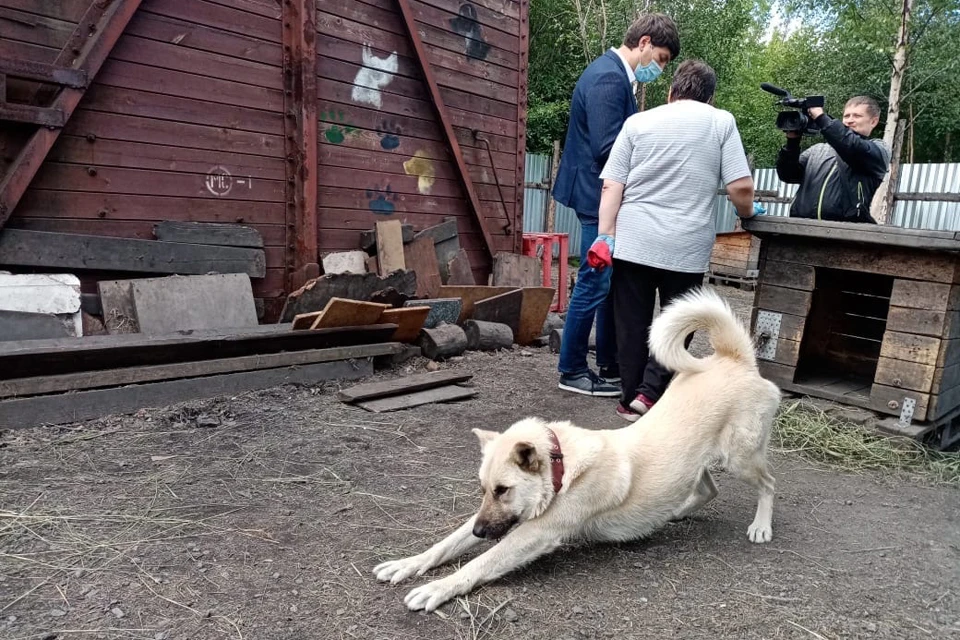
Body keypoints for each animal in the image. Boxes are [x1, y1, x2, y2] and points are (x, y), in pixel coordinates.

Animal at [372, 288, 784, 608]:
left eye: (503, 490)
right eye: (484, 490)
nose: (480, 531)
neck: (563, 468)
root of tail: (733, 358)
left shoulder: (533, 534)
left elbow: (479, 563)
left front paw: (438, 587)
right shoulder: (501, 520)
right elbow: (445, 544)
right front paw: (409, 564)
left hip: (740, 457)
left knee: (768, 484)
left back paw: (761, 526)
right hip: (699, 462)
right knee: (708, 487)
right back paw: (679, 511)